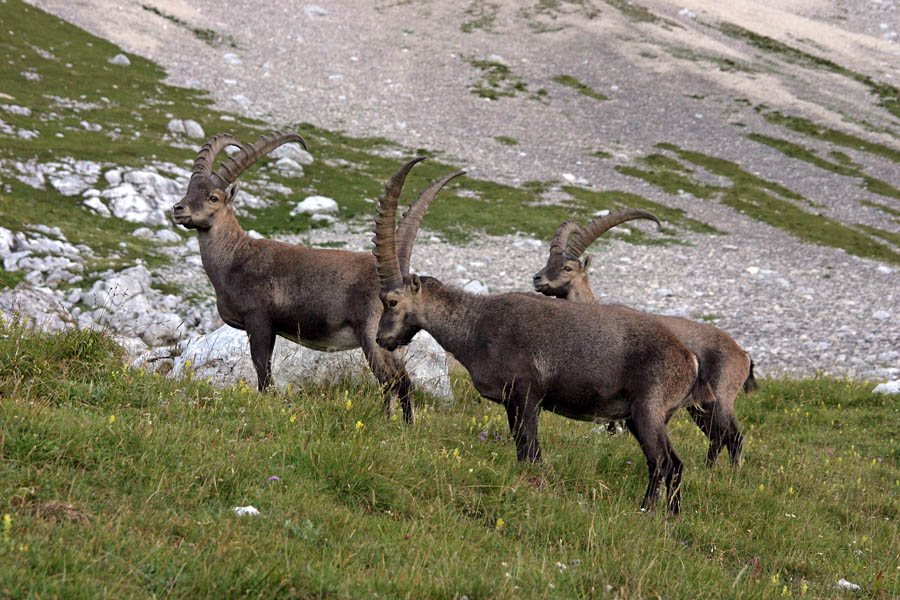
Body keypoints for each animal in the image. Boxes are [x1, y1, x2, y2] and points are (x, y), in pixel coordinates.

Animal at [171, 132, 462, 424]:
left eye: (213, 197)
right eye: (189, 190)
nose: (178, 209)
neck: (234, 257)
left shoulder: (259, 320)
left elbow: (263, 373)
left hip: (372, 336)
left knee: (395, 382)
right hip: (392, 344)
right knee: (396, 383)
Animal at [372, 160, 715, 514]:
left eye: (392, 301)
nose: (382, 339)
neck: (478, 324)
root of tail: (688, 358)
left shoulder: (528, 394)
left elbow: (530, 450)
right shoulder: (510, 402)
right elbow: (521, 448)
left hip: (648, 410)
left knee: (662, 462)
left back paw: (647, 510)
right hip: (645, 417)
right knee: (674, 464)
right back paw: (671, 515)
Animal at [532, 211, 756, 466]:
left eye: (567, 267)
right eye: (548, 262)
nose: (537, 278)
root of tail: (743, 355)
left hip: (721, 398)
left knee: (733, 436)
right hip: (699, 407)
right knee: (717, 437)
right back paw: (709, 470)